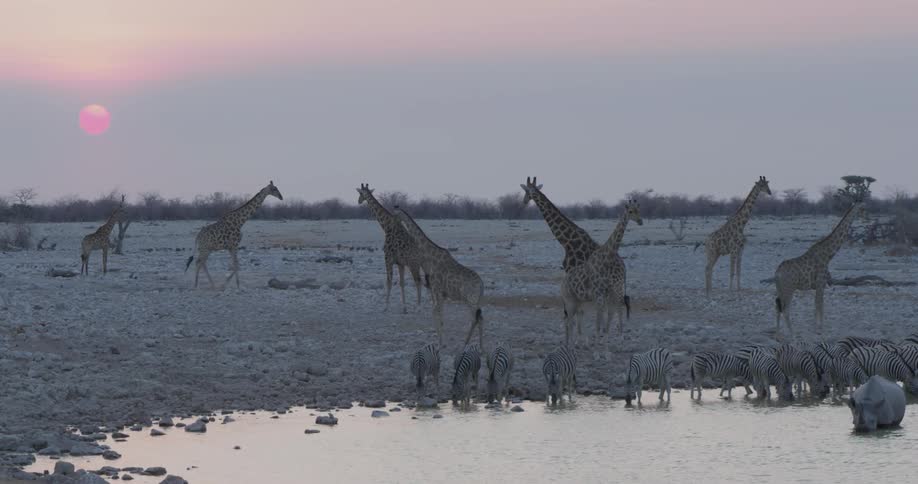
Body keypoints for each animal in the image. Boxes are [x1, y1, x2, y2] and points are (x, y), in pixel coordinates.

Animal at [357, 183, 423, 313]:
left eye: (361, 193)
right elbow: (401, 283)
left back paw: (418, 307)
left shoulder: (388, 258)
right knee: (420, 282)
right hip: (415, 265)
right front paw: (404, 307)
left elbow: (389, 282)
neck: (386, 226)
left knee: (418, 282)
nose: (359, 201)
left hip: (413, 264)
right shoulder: (400, 263)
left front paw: (385, 306)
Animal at [394, 206, 485, 349]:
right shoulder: (441, 293)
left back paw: (470, 345)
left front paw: (439, 343)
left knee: (475, 318)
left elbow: (436, 313)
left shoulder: (436, 290)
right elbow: (440, 315)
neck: (432, 257)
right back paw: (476, 345)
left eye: (395, 214)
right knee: (479, 318)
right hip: (476, 300)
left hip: (471, 300)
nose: (395, 223)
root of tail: (481, 285)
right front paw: (441, 342)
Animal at [561, 200, 642, 346]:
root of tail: (562, 284)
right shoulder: (599, 294)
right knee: (569, 321)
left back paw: (574, 343)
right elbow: (599, 321)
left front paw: (604, 341)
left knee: (572, 319)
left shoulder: (605, 293)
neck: (608, 255)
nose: (640, 221)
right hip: (570, 301)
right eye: (630, 211)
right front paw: (600, 343)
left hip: (579, 301)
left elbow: (604, 319)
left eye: (639, 210)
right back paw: (569, 344)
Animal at [774, 201, 866, 332]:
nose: (865, 216)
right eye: (863, 208)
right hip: (789, 288)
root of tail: (777, 273)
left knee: (778, 307)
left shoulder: (818, 285)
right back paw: (792, 333)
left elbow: (816, 304)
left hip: (780, 289)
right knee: (785, 309)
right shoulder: (821, 283)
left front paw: (815, 324)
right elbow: (820, 304)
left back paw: (778, 331)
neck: (828, 255)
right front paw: (820, 326)